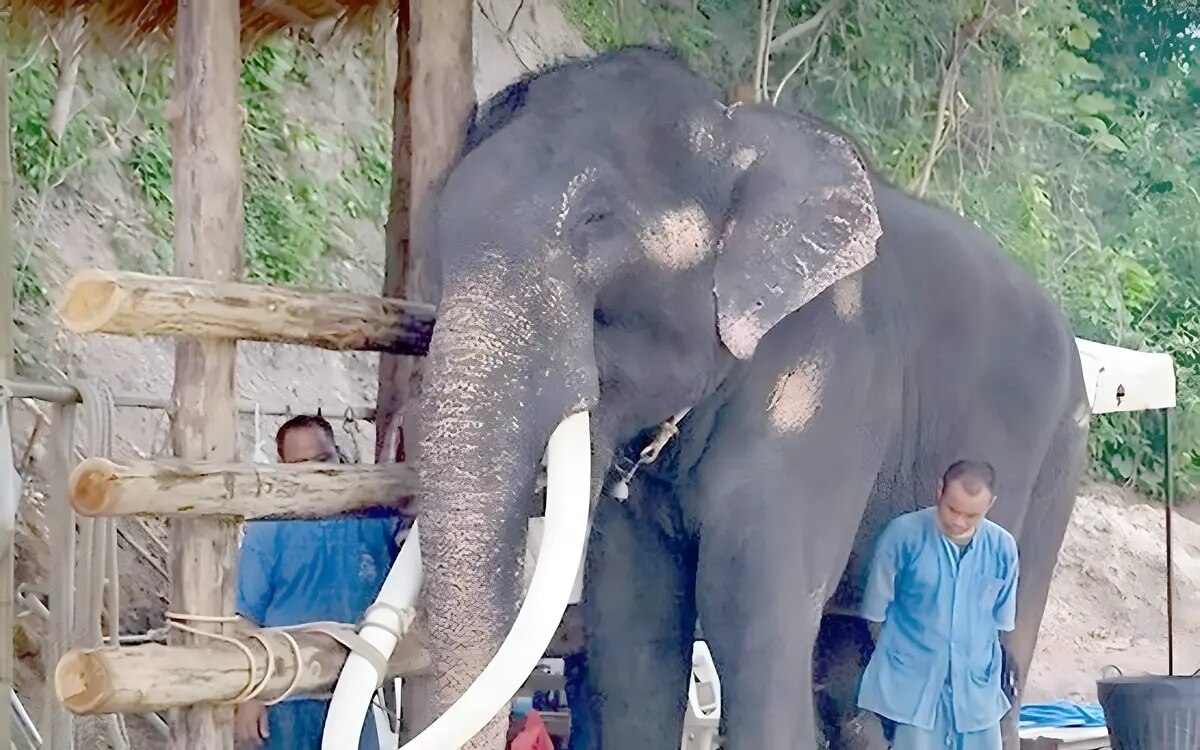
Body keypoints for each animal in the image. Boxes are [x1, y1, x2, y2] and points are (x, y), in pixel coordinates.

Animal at [410, 46, 1089, 748]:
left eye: (596, 224)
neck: (737, 130)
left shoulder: (828, 386)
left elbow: (752, 621)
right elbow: (634, 630)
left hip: (1059, 465)